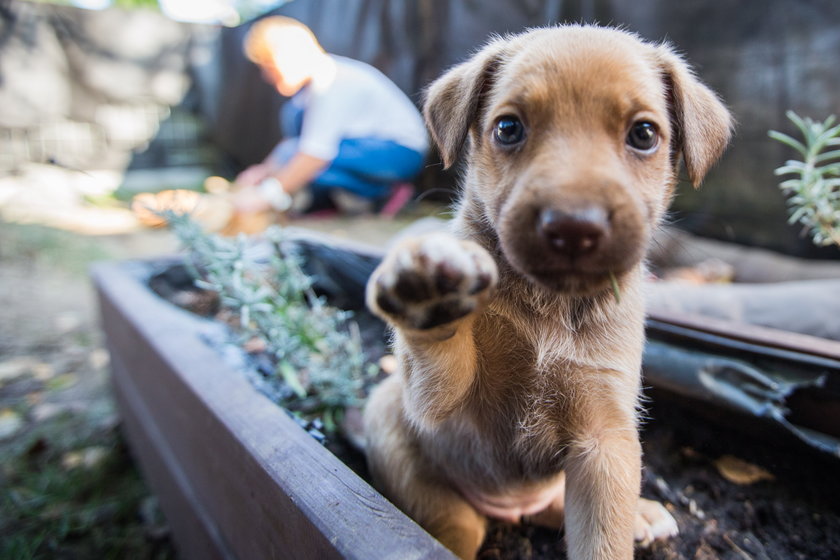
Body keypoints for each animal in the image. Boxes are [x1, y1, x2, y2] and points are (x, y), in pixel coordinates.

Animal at [364, 27, 732, 560]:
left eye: (643, 134)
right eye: (508, 128)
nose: (574, 227)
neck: (549, 305)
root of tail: (512, 509)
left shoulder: (603, 441)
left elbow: (603, 542)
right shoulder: (444, 406)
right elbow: (442, 352)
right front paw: (429, 293)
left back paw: (643, 513)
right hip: (401, 439)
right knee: (454, 530)